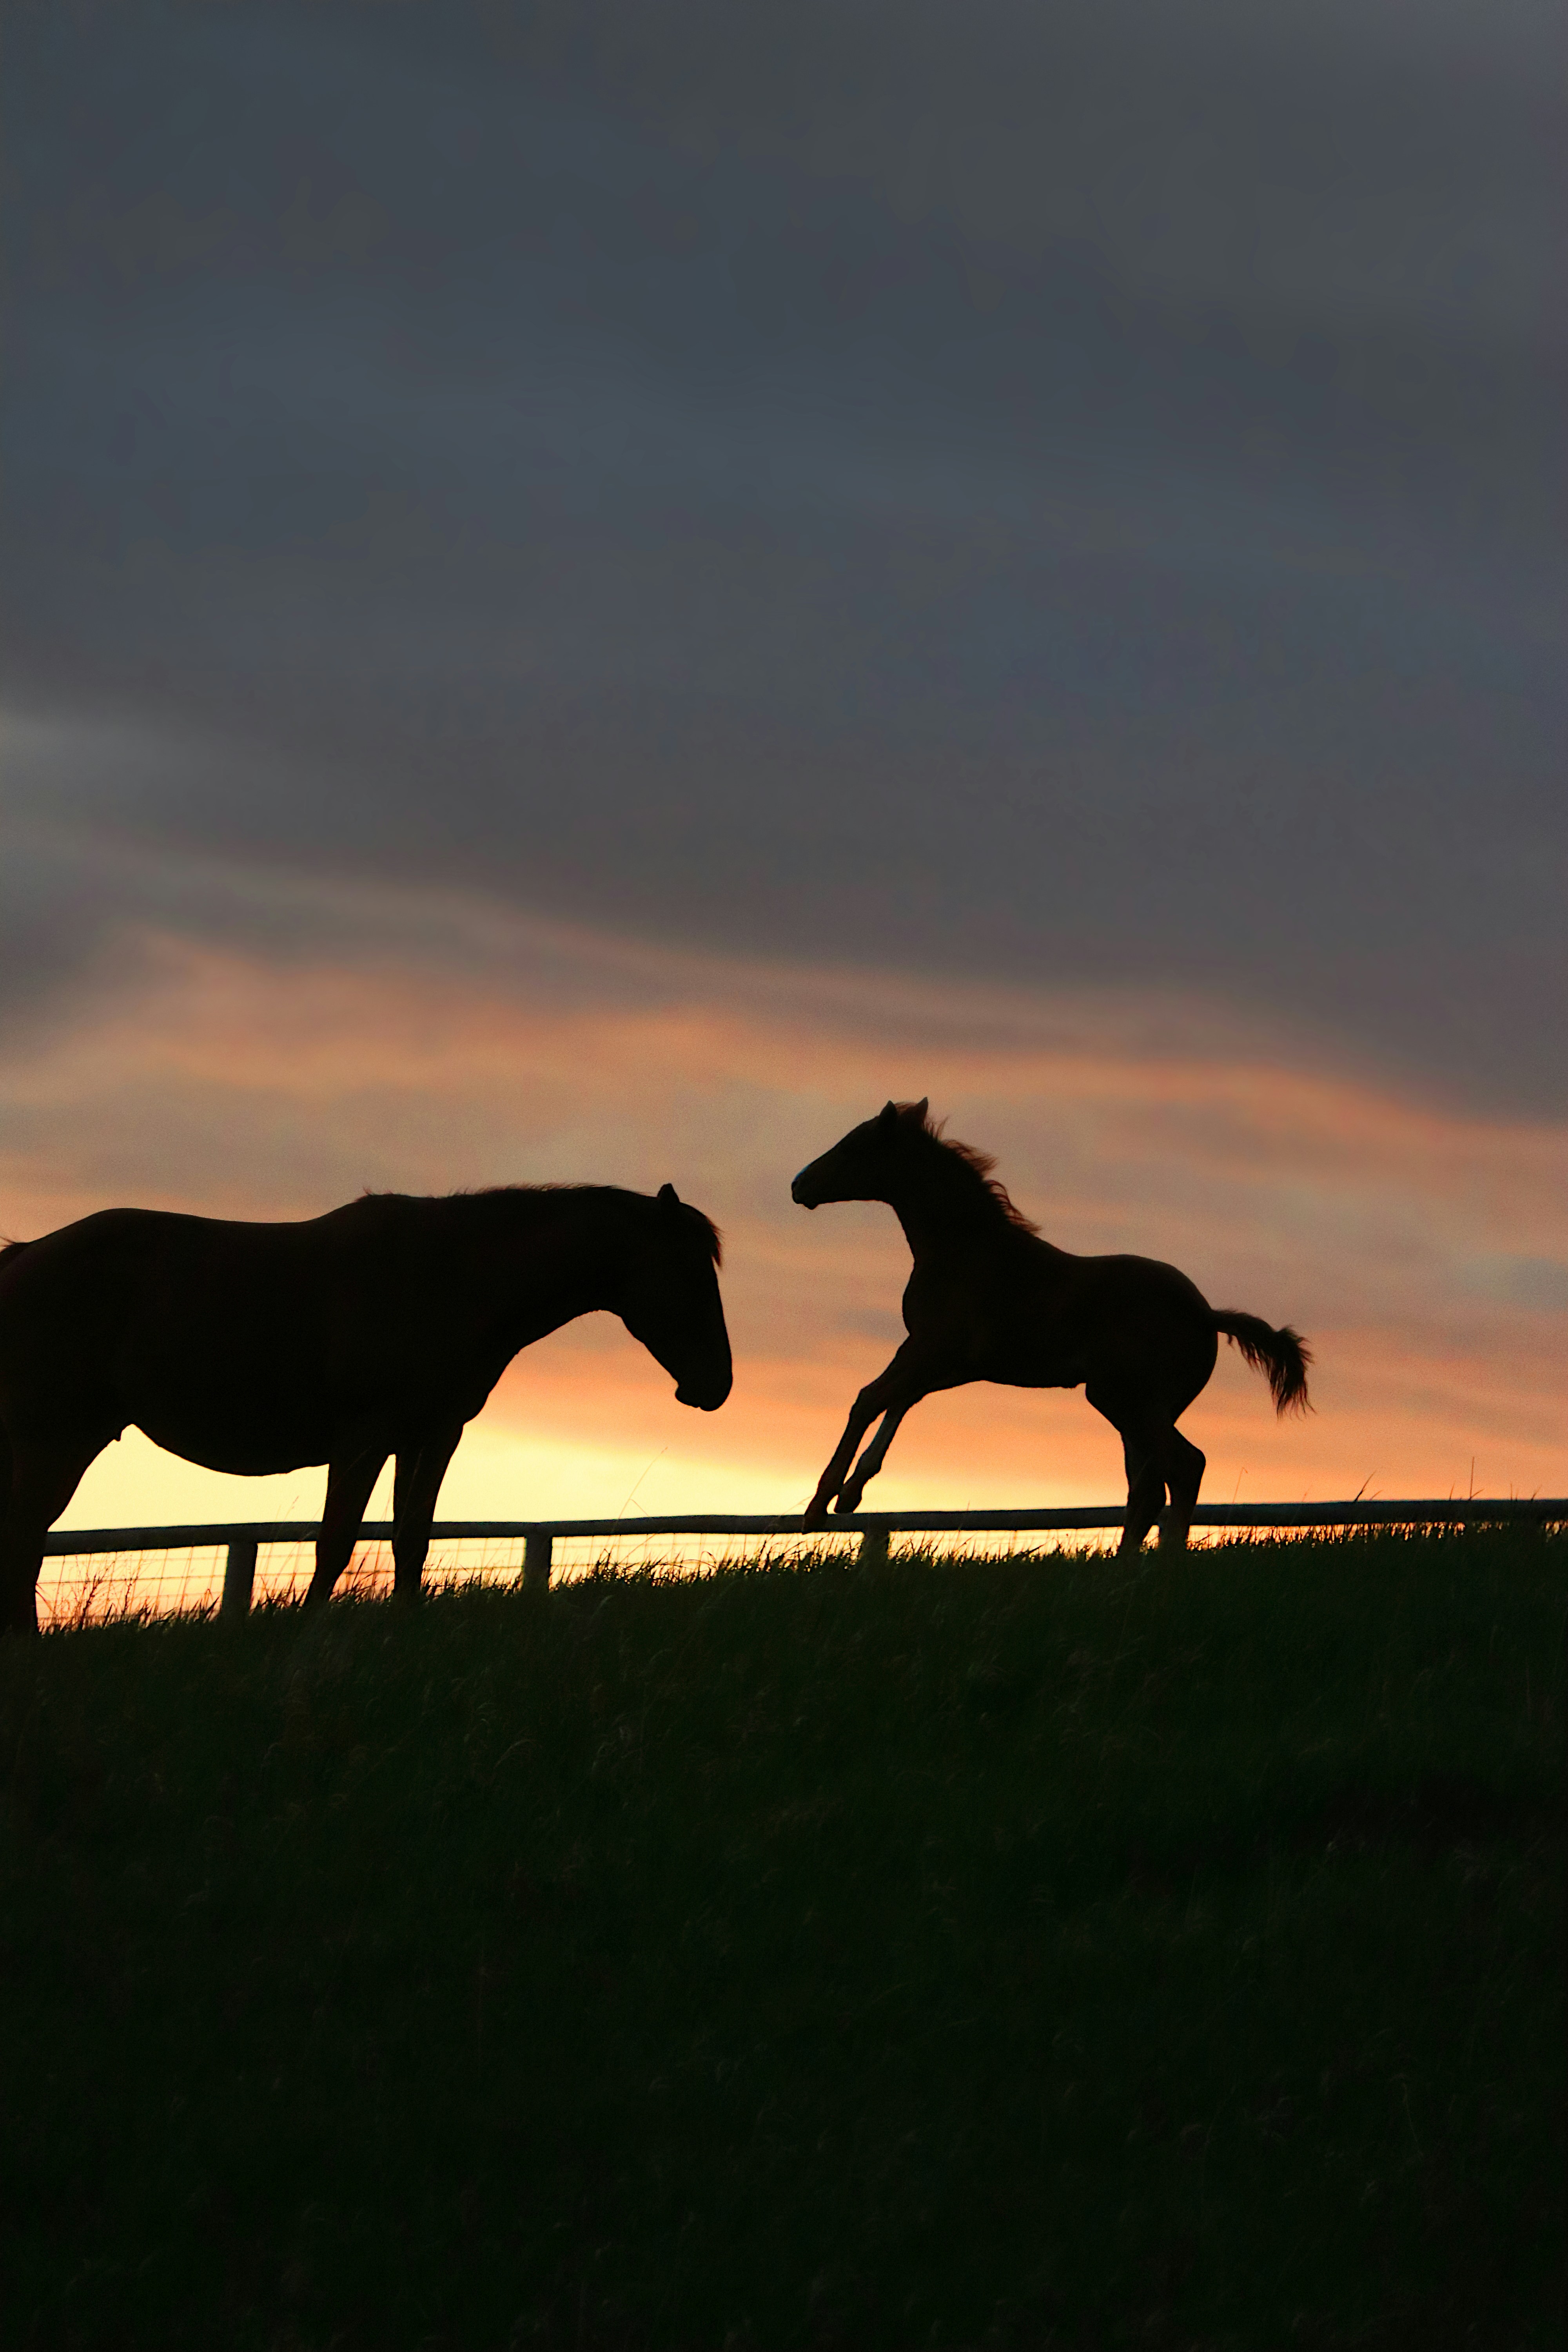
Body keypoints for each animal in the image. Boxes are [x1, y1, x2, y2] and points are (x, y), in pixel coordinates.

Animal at [0, 1182, 731, 1635]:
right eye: (691, 1273)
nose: (716, 1386)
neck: (450, 1278)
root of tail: (24, 1257)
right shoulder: (363, 1438)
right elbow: (336, 1542)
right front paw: (310, 1631)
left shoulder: (432, 1436)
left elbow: (412, 1540)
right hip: (51, 1439)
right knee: (25, 1540)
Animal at [792, 1101, 1309, 1554]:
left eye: (853, 1145)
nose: (800, 1185)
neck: (962, 1250)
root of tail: (1205, 1313)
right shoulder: (945, 1362)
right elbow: (898, 1402)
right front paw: (851, 1494)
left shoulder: (931, 1350)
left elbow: (868, 1400)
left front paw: (819, 1506)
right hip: (1143, 1407)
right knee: (1148, 1488)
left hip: (1123, 1400)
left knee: (1183, 1468)